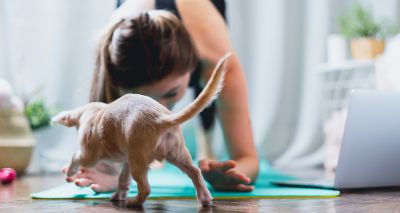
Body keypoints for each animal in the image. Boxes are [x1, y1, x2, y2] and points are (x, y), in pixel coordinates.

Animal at [52, 52, 231, 206]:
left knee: (145, 188)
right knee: (194, 171)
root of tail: (160, 118)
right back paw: (205, 198)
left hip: (138, 161)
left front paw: (70, 171)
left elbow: (76, 157)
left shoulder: (88, 155)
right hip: (174, 153)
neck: (94, 112)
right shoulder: (126, 161)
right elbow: (123, 180)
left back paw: (133, 202)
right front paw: (118, 195)